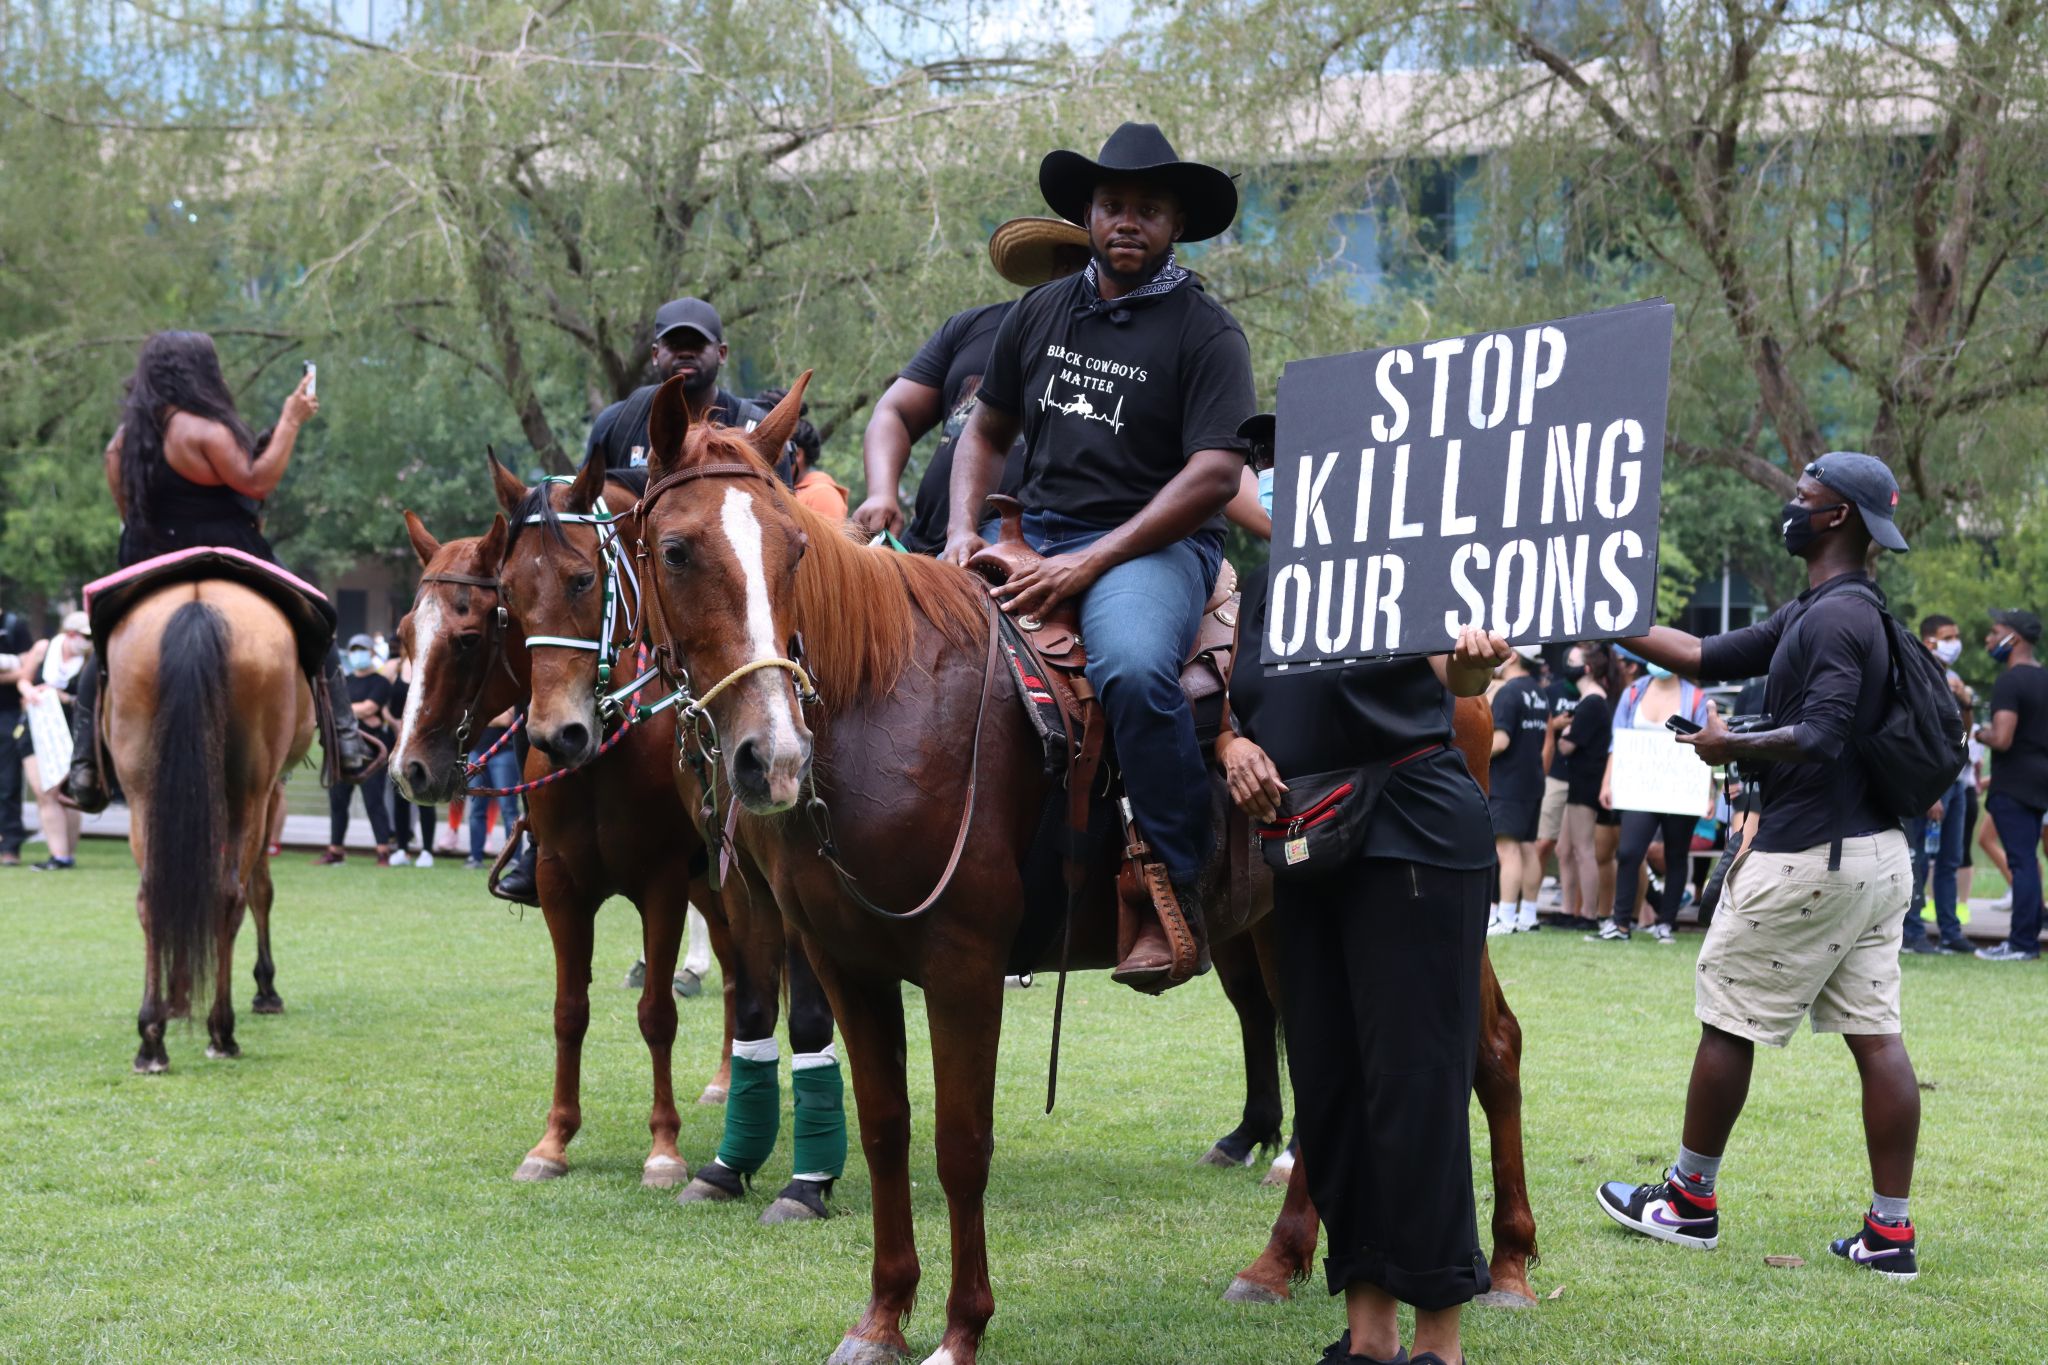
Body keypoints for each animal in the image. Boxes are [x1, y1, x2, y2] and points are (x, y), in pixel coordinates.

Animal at [106, 581, 313, 1072]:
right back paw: (221, 1030)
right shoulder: (272, 792)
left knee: (154, 894)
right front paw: (265, 988)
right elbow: (260, 890)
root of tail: (198, 603)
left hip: (144, 789)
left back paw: (152, 1038)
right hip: (249, 791)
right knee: (229, 895)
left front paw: (176, 995)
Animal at [634, 376, 1540, 1365]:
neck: (890, 711)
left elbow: (961, 1143)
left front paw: (962, 1326)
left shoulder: (962, 967)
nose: (775, 755)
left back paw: (1508, 1266)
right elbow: (885, 1131)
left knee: (1488, 1046)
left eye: (795, 548)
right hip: (1282, 921)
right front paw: (881, 1316)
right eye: (676, 550)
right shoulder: (848, 965)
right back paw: (1283, 1262)